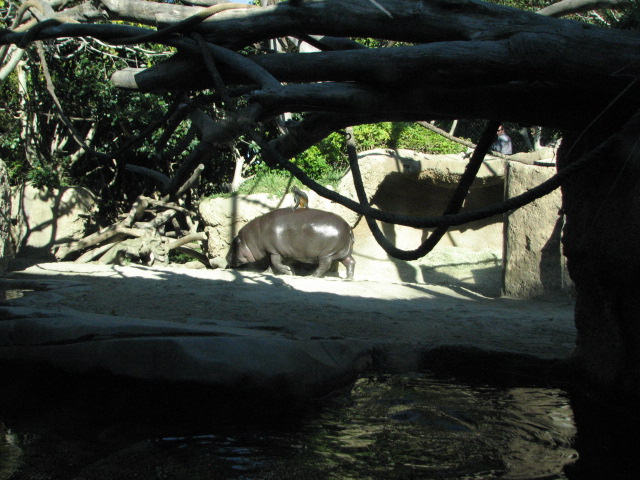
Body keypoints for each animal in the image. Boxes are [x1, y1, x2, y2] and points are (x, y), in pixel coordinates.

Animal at [226, 208, 355, 279]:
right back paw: (348, 278)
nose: (226, 257)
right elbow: (271, 264)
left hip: (327, 253)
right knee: (350, 262)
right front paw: (266, 272)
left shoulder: (274, 251)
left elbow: (276, 263)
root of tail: (349, 229)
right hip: (342, 253)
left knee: (324, 266)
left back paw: (311, 276)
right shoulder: (274, 251)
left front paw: (290, 271)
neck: (253, 237)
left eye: (233, 244)